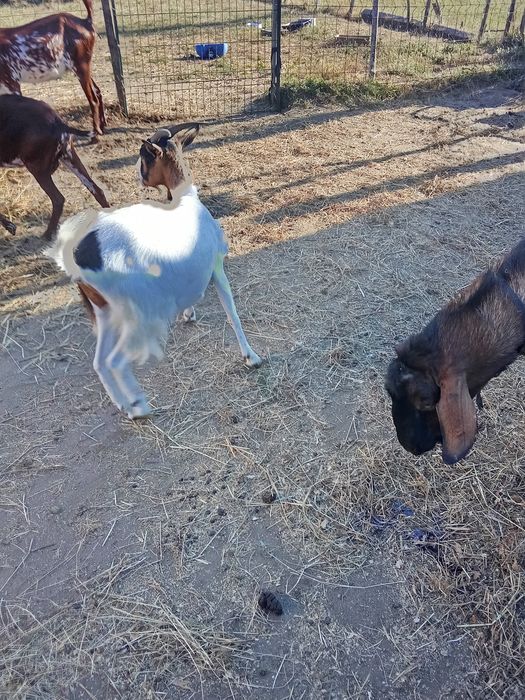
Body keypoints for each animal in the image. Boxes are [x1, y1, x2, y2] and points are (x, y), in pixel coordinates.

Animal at [0, 0, 105, 138]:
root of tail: (85, 21)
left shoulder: (11, 81)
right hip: (82, 66)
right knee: (97, 91)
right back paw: (103, 126)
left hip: (81, 64)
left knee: (93, 99)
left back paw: (96, 132)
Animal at [0, 94, 109, 239]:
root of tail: (57, 122)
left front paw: (10, 226)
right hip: (70, 158)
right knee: (97, 191)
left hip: (38, 169)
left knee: (58, 199)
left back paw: (47, 234)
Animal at [46, 123, 262, 419]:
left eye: (145, 158)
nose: (139, 177)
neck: (185, 201)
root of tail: (77, 253)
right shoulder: (217, 265)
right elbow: (233, 314)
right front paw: (252, 357)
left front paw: (189, 314)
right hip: (137, 313)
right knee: (115, 360)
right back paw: (139, 405)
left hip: (105, 310)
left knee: (100, 362)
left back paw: (126, 406)